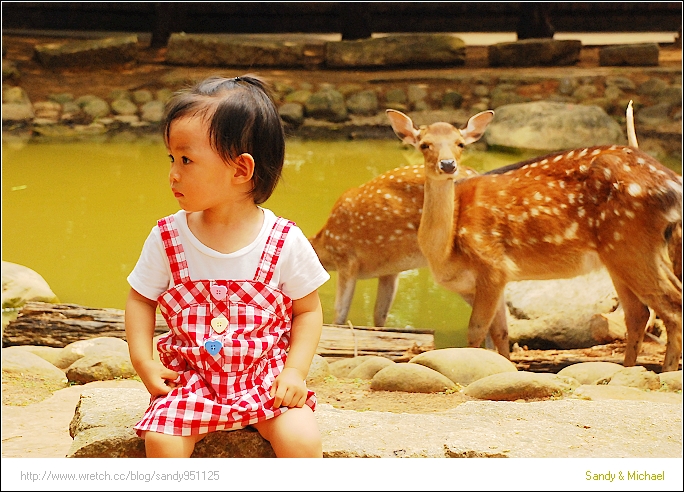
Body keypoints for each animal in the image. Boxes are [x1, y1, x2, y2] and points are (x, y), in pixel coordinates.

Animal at [388, 105, 680, 370]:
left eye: (460, 143)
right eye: (424, 144)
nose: (448, 165)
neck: (445, 251)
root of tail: (672, 182)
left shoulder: (492, 265)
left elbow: (476, 330)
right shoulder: (498, 280)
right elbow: (501, 333)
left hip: (630, 243)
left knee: (671, 307)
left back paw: (665, 372)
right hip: (624, 254)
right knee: (638, 313)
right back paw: (627, 368)